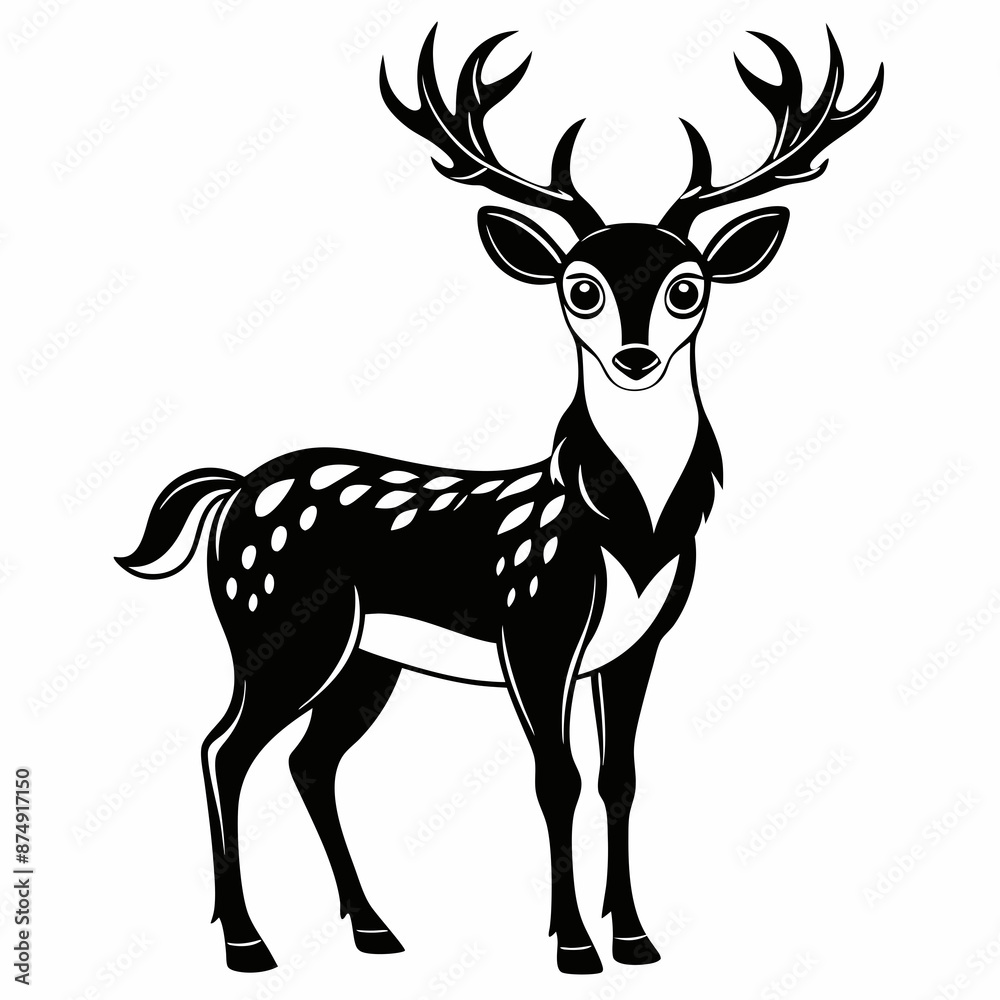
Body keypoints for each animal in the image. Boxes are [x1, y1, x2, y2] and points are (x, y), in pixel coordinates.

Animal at [117, 25, 882, 976]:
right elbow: (557, 778)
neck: (629, 531)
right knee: (222, 748)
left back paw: (374, 929)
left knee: (309, 762)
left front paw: (637, 938)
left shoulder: (639, 643)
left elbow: (620, 778)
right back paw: (247, 943)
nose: (634, 358)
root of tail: (230, 494)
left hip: (365, 660)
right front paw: (574, 946)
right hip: (275, 624)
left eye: (687, 285)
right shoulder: (535, 627)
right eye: (580, 287)